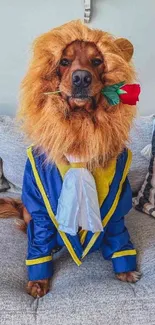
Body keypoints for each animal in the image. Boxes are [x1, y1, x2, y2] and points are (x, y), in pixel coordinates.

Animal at [0, 20, 141, 296]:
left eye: (97, 61)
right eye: (64, 62)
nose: (81, 77)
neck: (80, 126)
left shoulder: (117, 207)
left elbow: (119, 235)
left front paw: (125, 269)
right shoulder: (40, 210)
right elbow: (40, 240)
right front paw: (38, 281)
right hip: (29, 211)